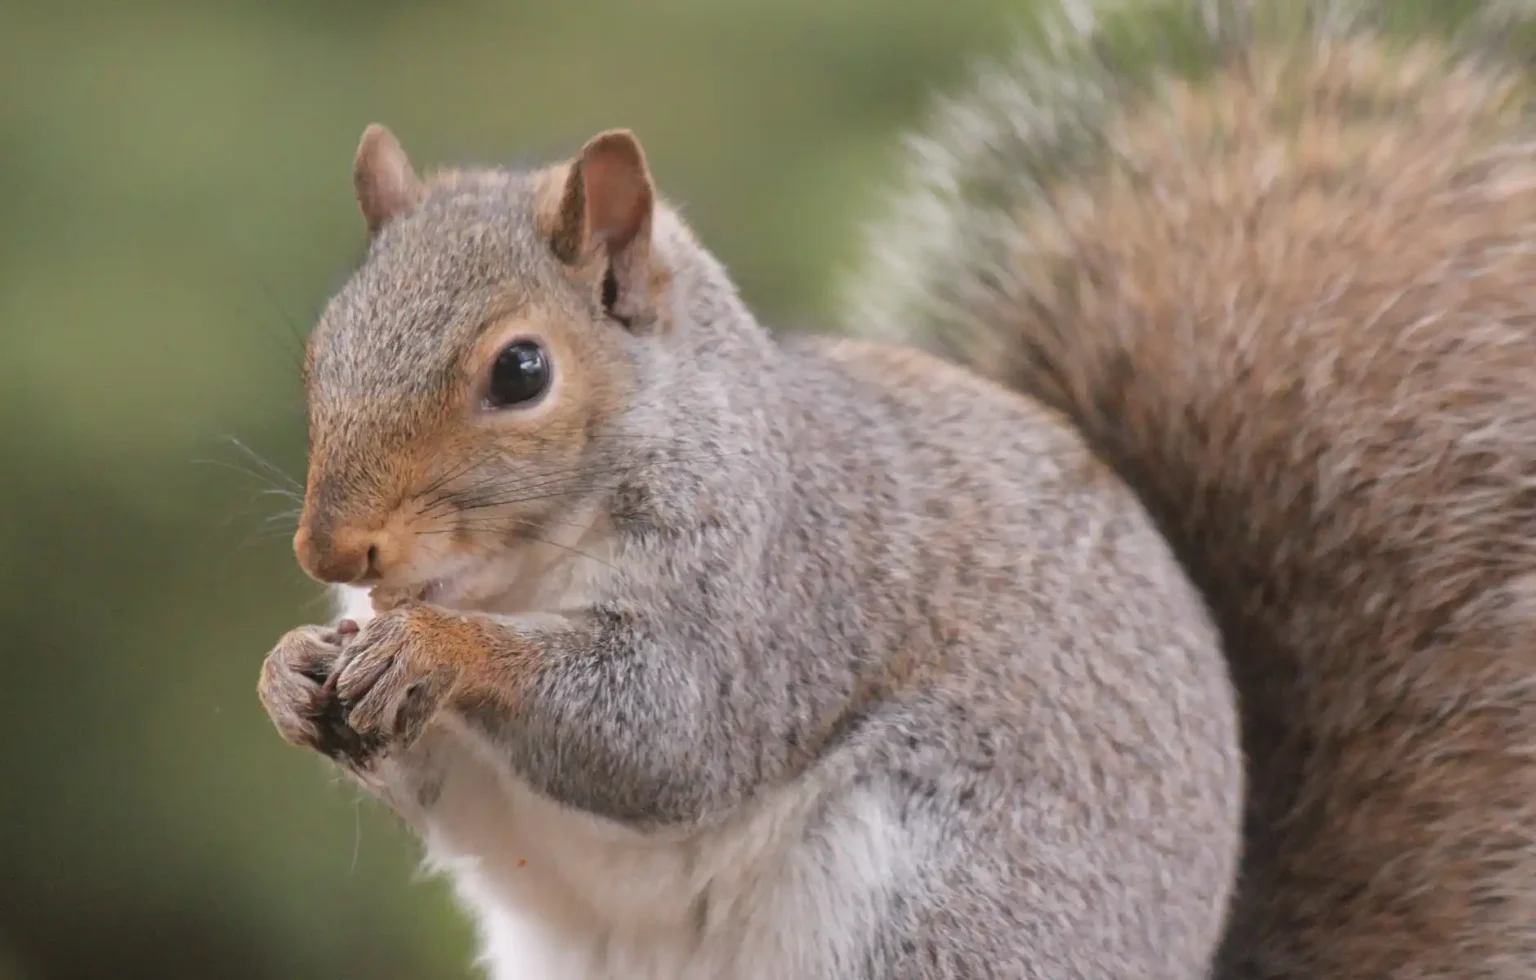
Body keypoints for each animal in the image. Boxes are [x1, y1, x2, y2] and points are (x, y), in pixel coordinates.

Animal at [253, 0, 1536, 977]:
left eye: (521, 370)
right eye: (323, 344)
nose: (330, 551)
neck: (512, 569)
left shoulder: (776, 588)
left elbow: (668, 731)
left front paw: (441, 650)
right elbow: (446, 786)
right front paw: (290, 670)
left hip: (944, 908)